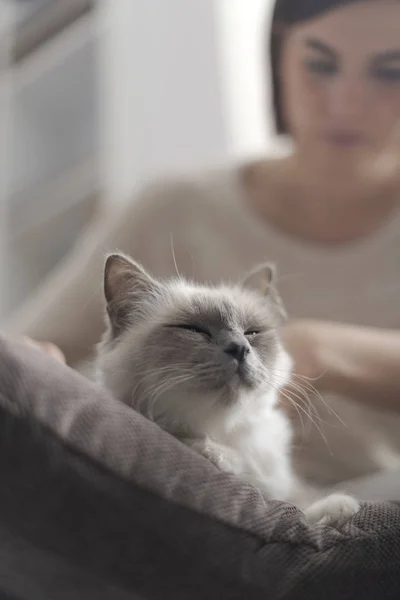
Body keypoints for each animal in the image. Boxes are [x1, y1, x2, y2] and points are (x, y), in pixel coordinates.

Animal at [96, 253, 360, 524]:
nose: (239, 348)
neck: (220, 432)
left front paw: (338, 508)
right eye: (194, 330)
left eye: (251, 332)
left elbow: (298, 502)